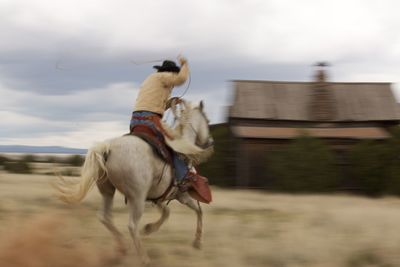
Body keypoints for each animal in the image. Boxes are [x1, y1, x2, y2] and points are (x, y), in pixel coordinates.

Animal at [54, 101, 214, 266]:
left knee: (105, 217)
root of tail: (108, 149)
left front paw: (149, 228)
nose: (210, 141)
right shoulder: (182, 195)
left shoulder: (159, 197)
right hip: (137, 197)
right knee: (131, 225)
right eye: (207, 121)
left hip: (108, 191)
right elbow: (198, 210)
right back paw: (144, 258)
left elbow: (168, 212)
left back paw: (122, 248)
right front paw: (197, 242)